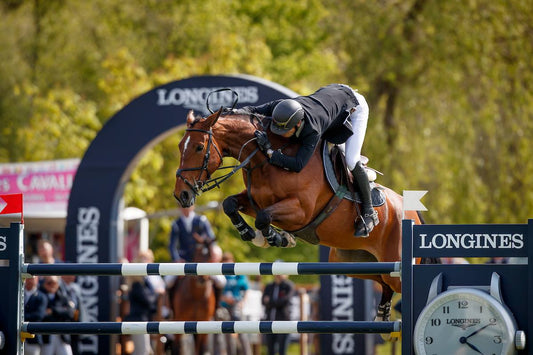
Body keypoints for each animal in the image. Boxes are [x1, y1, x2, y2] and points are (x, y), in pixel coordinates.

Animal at [175, 109, 424, 326]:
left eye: (199, 147)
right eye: (180, 146)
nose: (181, 195)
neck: (269, 159)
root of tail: (413, 214)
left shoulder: (300, 211)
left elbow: (264, 217)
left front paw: (276, 238)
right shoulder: (255, 201)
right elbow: (230, 204)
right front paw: (254, 235)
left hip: (393, 263)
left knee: (398, 282)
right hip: (352, 263)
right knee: (384, 281)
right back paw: (382, 314)